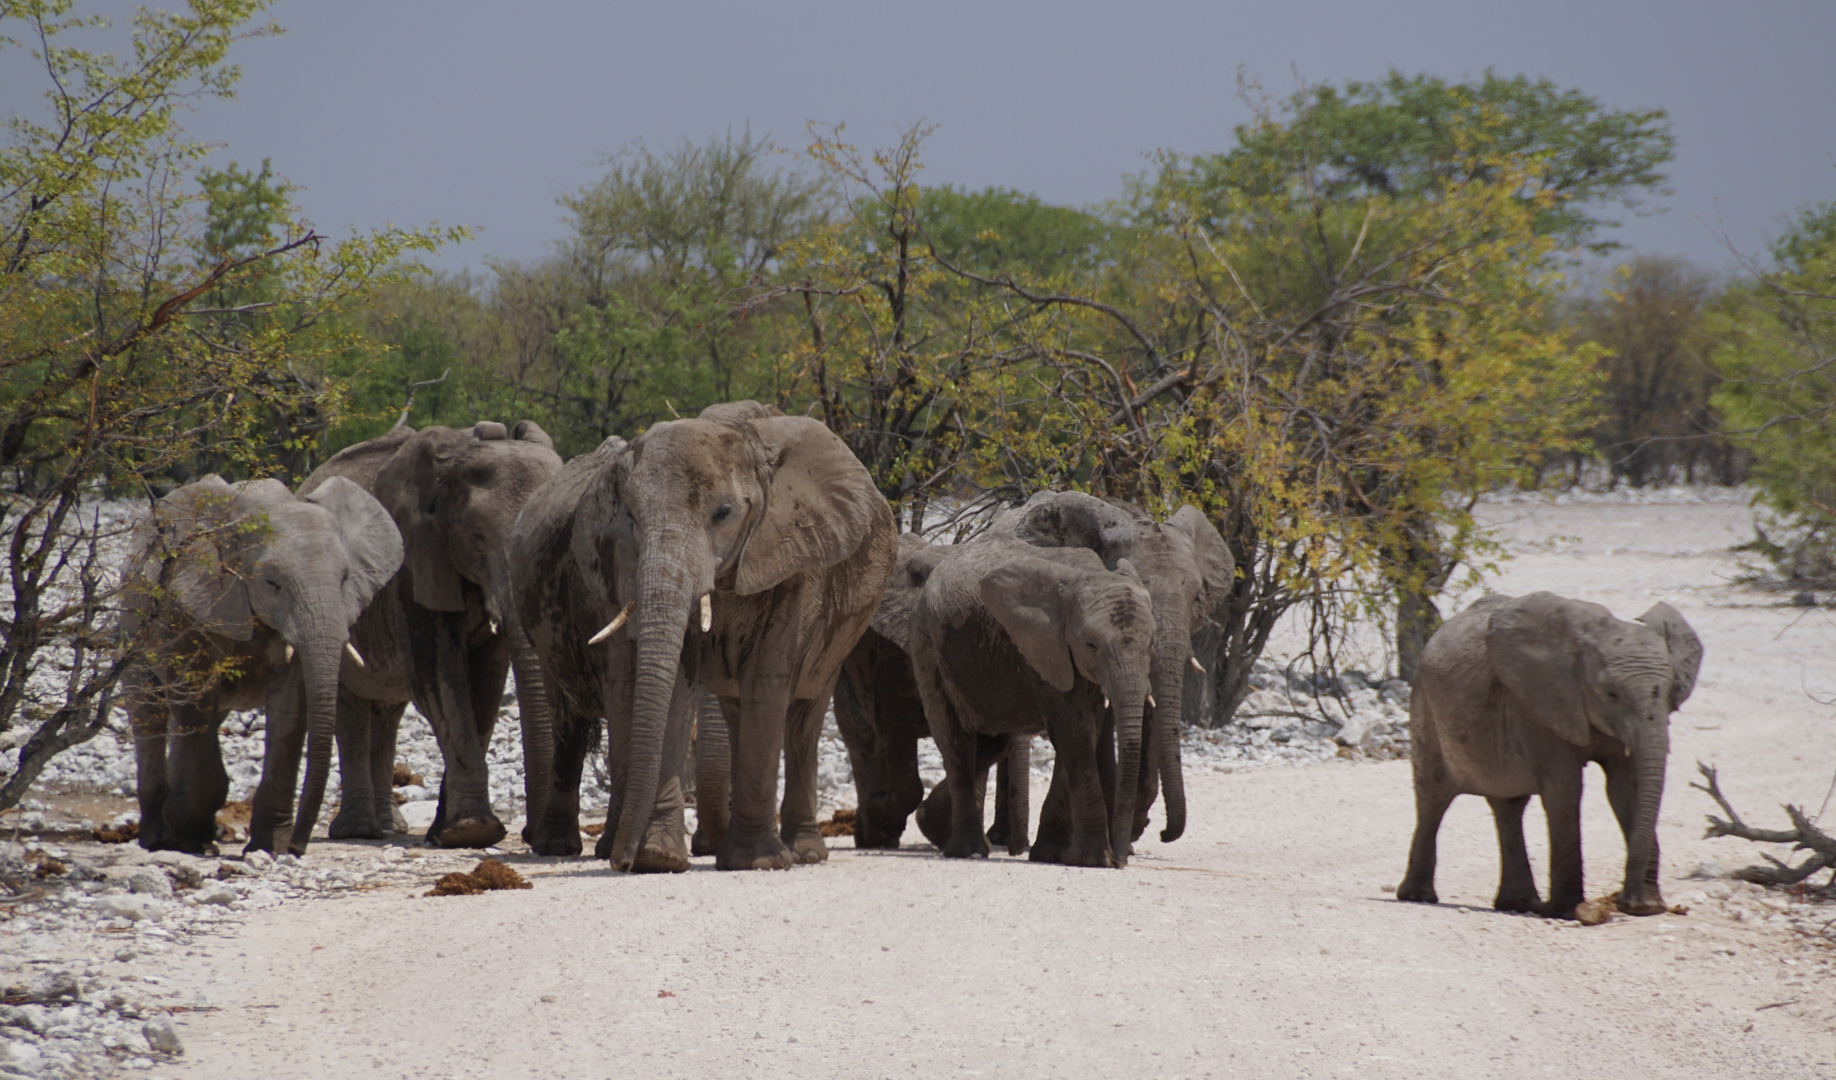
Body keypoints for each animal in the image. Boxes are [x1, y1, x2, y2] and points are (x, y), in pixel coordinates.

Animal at [125, 473, 405, 852]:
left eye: (345, 579)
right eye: (272, 583)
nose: (299, 849)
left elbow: (289, 710)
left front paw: (269, 847)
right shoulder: (189, 606)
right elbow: (194, 696)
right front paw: (188, 836)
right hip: (133, 621)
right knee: (149, 711)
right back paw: (158, 836)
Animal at [301, 416, 561, 848]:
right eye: (477, 538)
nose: (530, 835)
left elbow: (485, 687)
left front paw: (447, 830)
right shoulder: (414, 559)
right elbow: (440, 678)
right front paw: (473, 830)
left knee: (387, 712)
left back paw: (392, 826)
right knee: (350, 706)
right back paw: (359, 830)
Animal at [514, 400, 892, 874]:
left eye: (723, 513)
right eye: (632, 519)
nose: (622, 862)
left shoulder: (794, 559)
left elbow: (766, 680)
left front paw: (756, 862)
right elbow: (676, 678)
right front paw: (658, 858)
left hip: (843, 630)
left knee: (804, 714)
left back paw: (803, 853)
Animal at [1395, 591, 1696, 918]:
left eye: (1672, 691)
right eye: (1611, 694)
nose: (1624, 902)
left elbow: (1626, 788)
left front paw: (1648, 906)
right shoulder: (1539, 707)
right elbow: (1564, 789)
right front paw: (1567, 911)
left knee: (1508, 806)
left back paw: (1519, 904)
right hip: (1425, 707)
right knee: (1433, 798)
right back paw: (1418, 896)